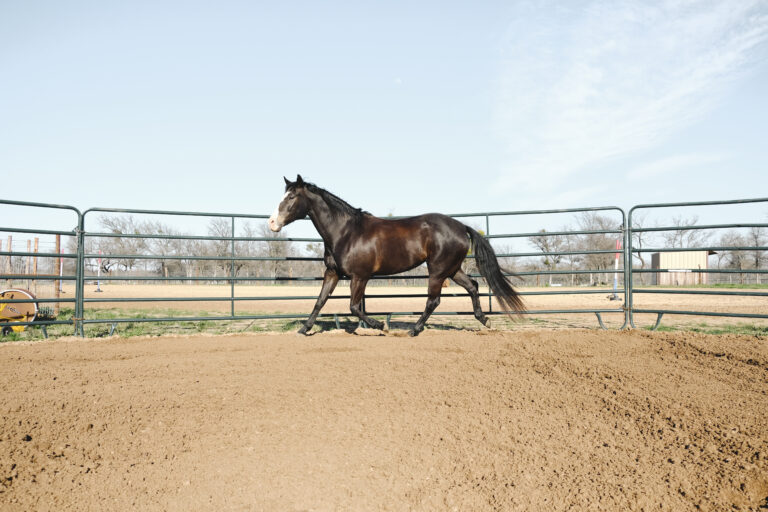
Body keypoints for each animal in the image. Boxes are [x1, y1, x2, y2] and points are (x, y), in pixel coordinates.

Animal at [268, 175, 525, 336]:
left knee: (433, 300)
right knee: (472, 286)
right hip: (452, 269)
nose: (272, 223)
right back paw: (485, 321)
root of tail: (462, 227)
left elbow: (354, 307)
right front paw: (304, 329)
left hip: (437, 271)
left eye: (291, 197)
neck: (346, 232)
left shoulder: (360, 277)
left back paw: (414, 330)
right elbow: (320, 301)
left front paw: (382, 325)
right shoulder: (332, 273)